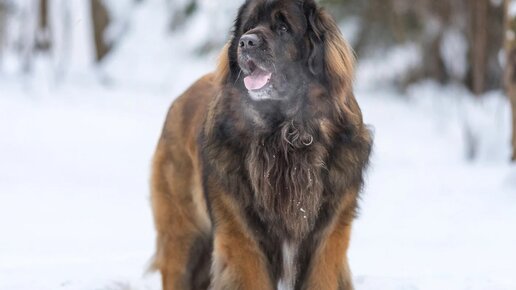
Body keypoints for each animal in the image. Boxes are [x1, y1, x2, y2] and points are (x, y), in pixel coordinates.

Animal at [151, 1, 372, 288]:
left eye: (283, 27)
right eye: (248, 27)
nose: (246, 42)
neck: (285, 136)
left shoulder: (328, 239)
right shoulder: (242, 238)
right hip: (184, 238)